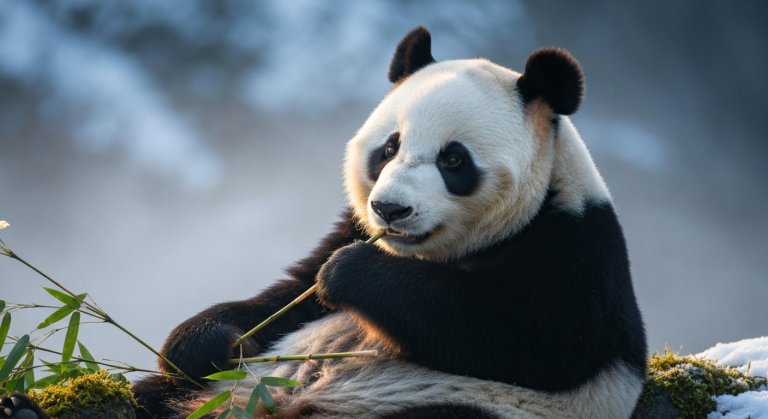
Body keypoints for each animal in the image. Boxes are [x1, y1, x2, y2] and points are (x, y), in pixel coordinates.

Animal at [0, 27, 647, 419]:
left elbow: (525, 336)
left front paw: (355, 275)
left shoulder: (575, 252)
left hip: (452, 406)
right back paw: (24, 407)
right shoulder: (346, 227)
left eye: (453, 160)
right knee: (148, 400)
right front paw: (206, 340)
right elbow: (286, 298)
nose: (390, 210)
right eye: (389, 148)